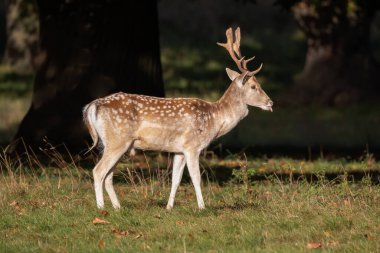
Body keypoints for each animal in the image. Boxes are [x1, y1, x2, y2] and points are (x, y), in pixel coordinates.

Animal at [83, 27, 274, 210]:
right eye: (254, 86)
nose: (270, 102)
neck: (214, 120)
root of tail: (92, 106)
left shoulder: (178, 150)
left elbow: (175, 179)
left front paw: (169, 207)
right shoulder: (192, 146)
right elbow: (196, 178)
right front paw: (202, 207)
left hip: (111, 143)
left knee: (108, 175)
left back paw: (118, 207)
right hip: (118, 140)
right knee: (98, 171)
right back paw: (101, 208)